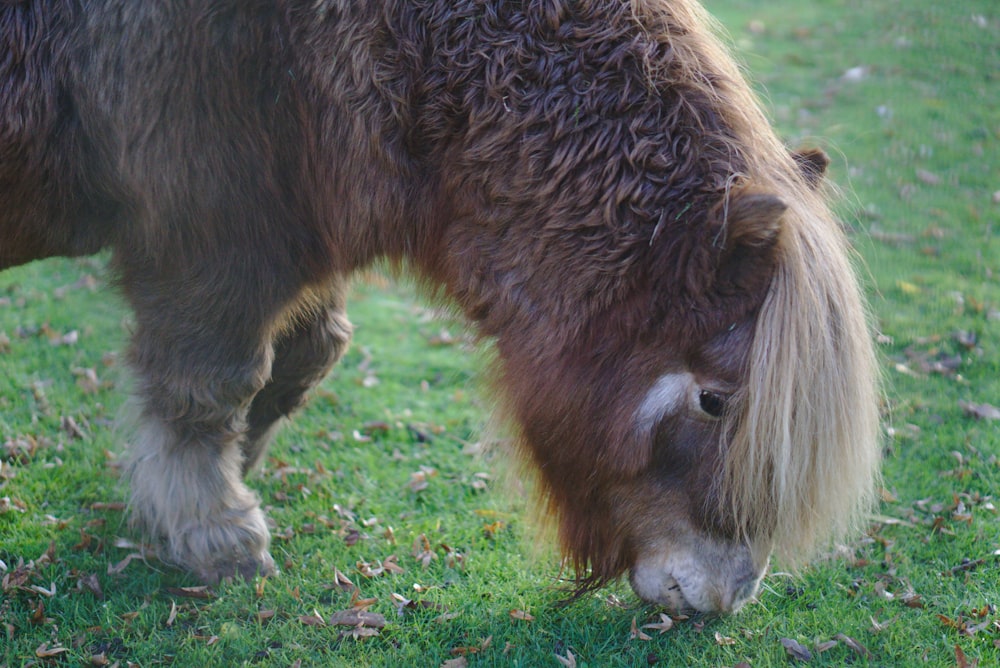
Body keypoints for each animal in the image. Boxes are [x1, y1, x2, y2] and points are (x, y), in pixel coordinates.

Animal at [0, 0, 880, 612]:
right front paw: (215, 529)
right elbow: (210, 385)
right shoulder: (212, 237)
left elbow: (306, 358)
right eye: (714, 400)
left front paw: (191, 488)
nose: (726, 598)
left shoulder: (301, 231)